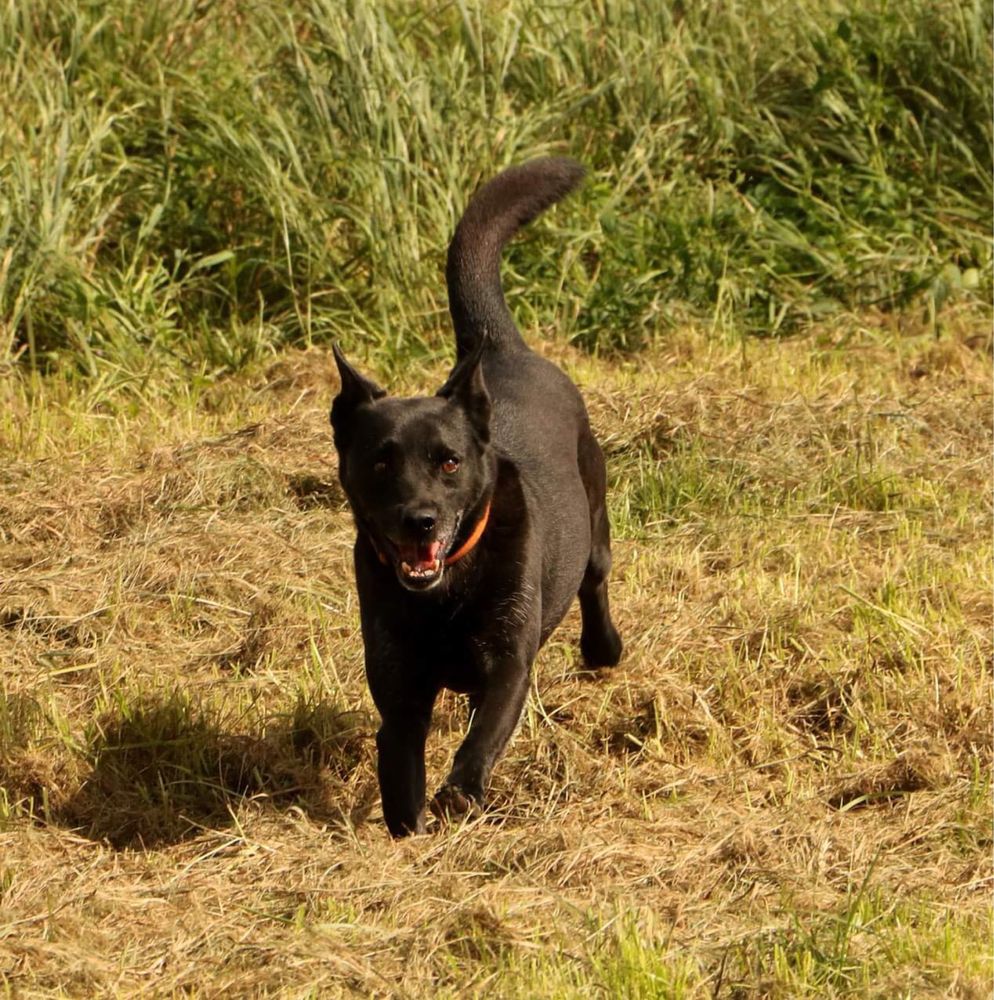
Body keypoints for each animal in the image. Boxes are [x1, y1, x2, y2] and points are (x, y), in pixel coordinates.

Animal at [330, 158, 620, 836]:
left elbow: (485, 733)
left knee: (595, 582)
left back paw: (603, 650)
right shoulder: (400, 688)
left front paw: (460, 793)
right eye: (379, 462)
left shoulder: (508, 660)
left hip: (594, 520)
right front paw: (410, 830)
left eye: (449, 461)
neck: (446, 593)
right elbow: (399, 767)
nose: (419, 520)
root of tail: (502, 350)